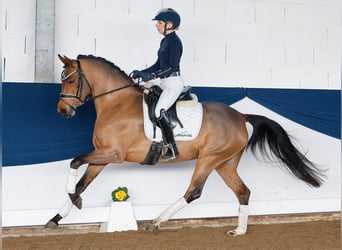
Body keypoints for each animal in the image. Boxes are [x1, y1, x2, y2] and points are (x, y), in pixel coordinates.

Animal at [44, 54, 324, 236]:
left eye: (70, 80)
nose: (61, 112)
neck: (116, 103)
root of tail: (240, 116)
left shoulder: (113, 154)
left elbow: (74, 162)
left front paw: (72, 202)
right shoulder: (103, 156)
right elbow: (82, 183)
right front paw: (56, 218)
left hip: (209, 159)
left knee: (194, 192)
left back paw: (156, 222)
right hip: (225, 163)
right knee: (243, 192)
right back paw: (239, 231)